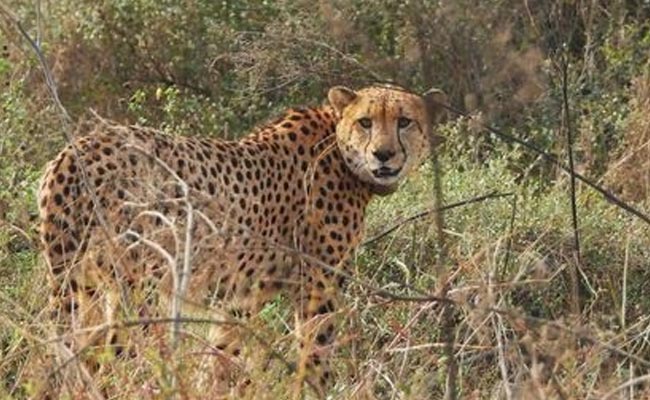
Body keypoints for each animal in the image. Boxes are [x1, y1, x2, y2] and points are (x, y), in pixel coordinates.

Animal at [38, 84, 446, 397]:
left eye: (404, 121)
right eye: (365, 122)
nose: (383, 154)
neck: (339, 149)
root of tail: (75, 150)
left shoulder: (242, 296)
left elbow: (221, 355)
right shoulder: (318, 287)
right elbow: (314, 354)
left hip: (83, 285)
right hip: (134, 288)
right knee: (113, 356)